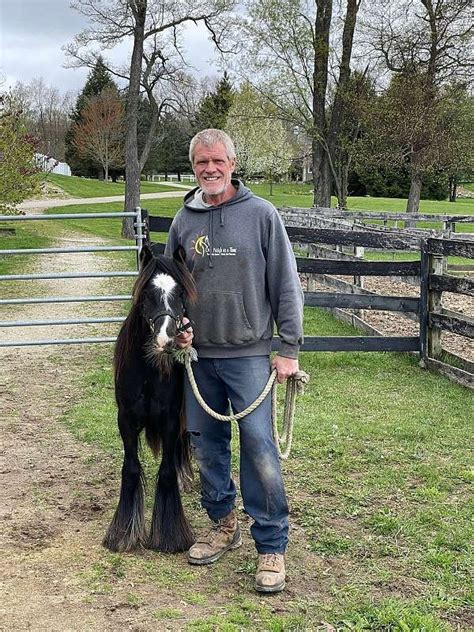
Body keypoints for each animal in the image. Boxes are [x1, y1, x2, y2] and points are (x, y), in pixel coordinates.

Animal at [104, 244, 197, 552]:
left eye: (180, 293)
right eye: (146, 294)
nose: (166, 339)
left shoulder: (170, 420)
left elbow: (166, 471)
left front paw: (169, 535)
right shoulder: (125, 420)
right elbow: (131, 468)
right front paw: (123, 534)